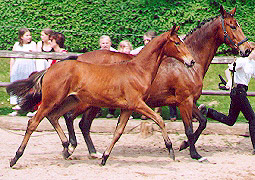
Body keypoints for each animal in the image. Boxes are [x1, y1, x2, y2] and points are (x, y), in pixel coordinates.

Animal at [7, 24, 195, 167]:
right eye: (177, 43)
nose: (191, 61)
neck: (138, 70)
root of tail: (49, 69)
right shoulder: (137, 104)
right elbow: (159, 120)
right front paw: (170, 149)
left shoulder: (127, 108)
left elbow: (118, 132)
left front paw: (104, 157)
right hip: (52, 100)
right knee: (34, 122)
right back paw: (16, 157)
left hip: (70, 100)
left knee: (55, 117)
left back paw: (67, 148)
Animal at [46, 5, 250, 160]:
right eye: (232, 26)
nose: (247, 49)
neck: (188, 64)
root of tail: (79, 59)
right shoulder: (184, 101)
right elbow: (190, 129)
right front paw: (194, 154)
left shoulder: (189, 101)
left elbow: (203, 122)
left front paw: (183, 146)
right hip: (87, 102)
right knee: (71, 118)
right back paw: (73, 148)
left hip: (93, 103)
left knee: (82, 124)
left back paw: (90, 152)